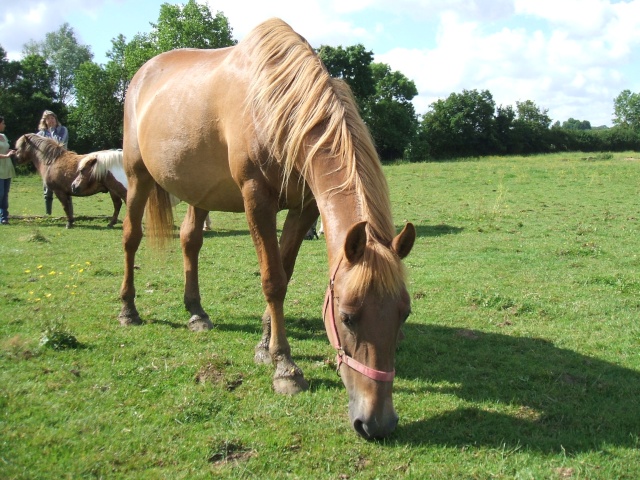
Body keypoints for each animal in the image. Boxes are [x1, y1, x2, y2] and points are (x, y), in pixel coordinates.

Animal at [121, 17, 416, 438]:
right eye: (346, 316)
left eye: (403, 313)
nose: (377, 423)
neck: (277, 106)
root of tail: (142, 74)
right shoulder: (256, 200)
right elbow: (273, 280)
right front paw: (285, 368)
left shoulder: (305, 207)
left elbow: (285, 272)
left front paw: (264, 345)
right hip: (137, 177)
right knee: (131, 239)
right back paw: (128, 309)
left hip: (197, 191)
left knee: (190, 241)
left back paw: (196, 312)